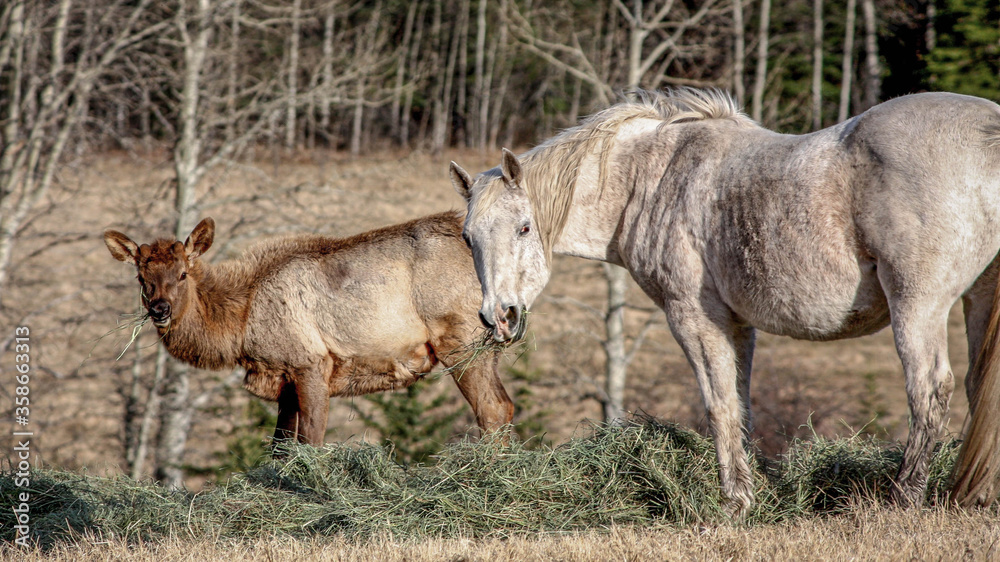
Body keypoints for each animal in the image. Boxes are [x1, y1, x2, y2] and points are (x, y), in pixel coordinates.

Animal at [103, 210, 516, 442]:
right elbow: (280, 448)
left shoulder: (312, 362)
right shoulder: (282, 378)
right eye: (142, 278)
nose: (160, 309)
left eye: (183, 273)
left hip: (461, 340)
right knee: (507, 406)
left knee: (492, 409)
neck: (241, 326)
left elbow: (311, 440)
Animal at [452, 88, 1000, 516]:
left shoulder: (695, 317)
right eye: (468, 237)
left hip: (917, 304)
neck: (650, 177)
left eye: (525, 228)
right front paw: (755, 494)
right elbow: (741, 404)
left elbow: (718, 405)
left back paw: (902, 498)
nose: (499, 317)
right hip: (976, 301)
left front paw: (734, 502)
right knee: (977, 388)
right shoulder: (739, 324)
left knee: (929, 390)